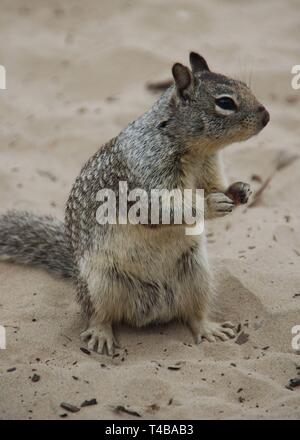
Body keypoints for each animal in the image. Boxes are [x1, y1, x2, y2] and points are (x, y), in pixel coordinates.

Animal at [0, 52, 268, 354]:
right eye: (225, 103)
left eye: (244, 86)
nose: (267, 116)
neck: (195, 150)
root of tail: (152, 311)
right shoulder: (146, 177)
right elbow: (163, 208)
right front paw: (211, 205)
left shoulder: (209, 171)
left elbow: (214, 187)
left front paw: (241, 189)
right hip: (101, 285)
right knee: (99, 315)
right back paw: (101, 334)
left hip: (198, 275)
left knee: (193, 313)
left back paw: (208, 328)